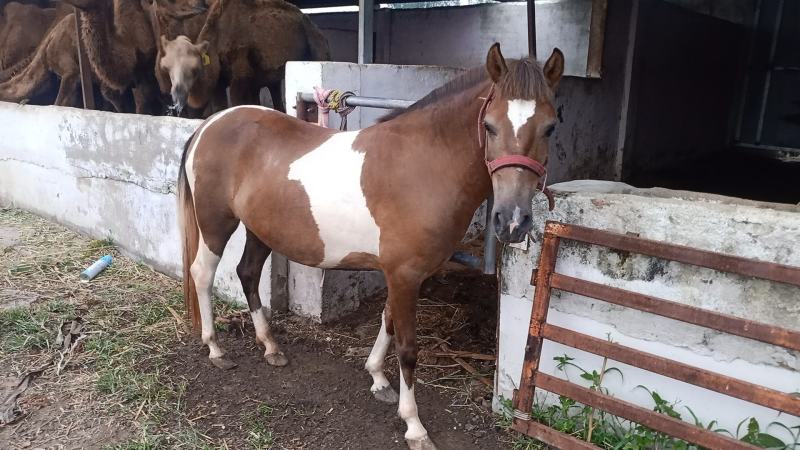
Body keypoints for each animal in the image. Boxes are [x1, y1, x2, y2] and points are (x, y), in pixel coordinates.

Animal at [178, 43, 564, 449]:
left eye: (550, 127)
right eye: (489, 125)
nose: (513, 222)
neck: (424, 163)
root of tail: (211, 123)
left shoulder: (403, 273)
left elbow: (388, 321)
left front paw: (377, 378)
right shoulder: (405, 274)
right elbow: (407, 348)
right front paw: (414, 425)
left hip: (260, 229)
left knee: (248, 274)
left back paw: (271, 347)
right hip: (215, 224)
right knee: (202, 274)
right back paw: (215, 348)